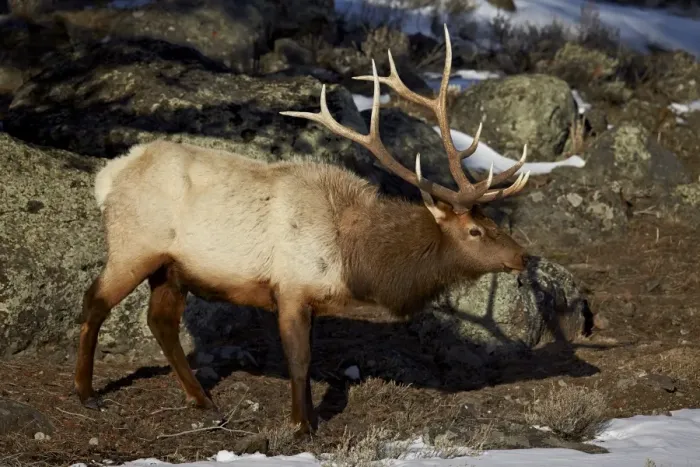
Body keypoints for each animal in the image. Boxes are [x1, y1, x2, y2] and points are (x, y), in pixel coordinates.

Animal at [73, 25, 533, 436]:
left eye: (492, 222)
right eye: (474, 230)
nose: (523, 256)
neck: (355, 259)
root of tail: (108, 177)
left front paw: (307, 419)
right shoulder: (291, 287)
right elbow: (300, 361)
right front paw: (301, 426)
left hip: (172, 268)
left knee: (160, 321)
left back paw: (201, 398)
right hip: (134, 245)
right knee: (95, 301)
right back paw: (86, 393)